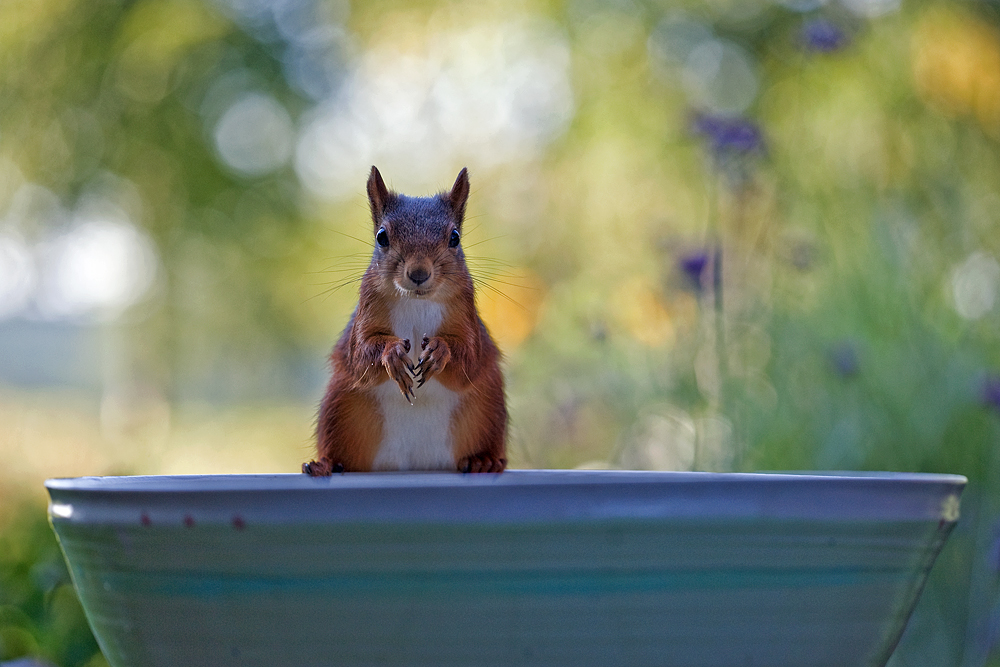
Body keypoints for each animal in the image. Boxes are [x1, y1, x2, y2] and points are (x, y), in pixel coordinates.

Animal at [302, 168, 508, 474]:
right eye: (381, 237)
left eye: (455, 237)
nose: (419, 273)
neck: (416, 301)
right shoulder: (366, 313)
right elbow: (361, 355)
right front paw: (392, 354)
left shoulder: (468, 319)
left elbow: (468, 360)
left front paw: (440, 350)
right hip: (340, 407)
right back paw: (324, 464)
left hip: (489, 410)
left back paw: (484, 461)